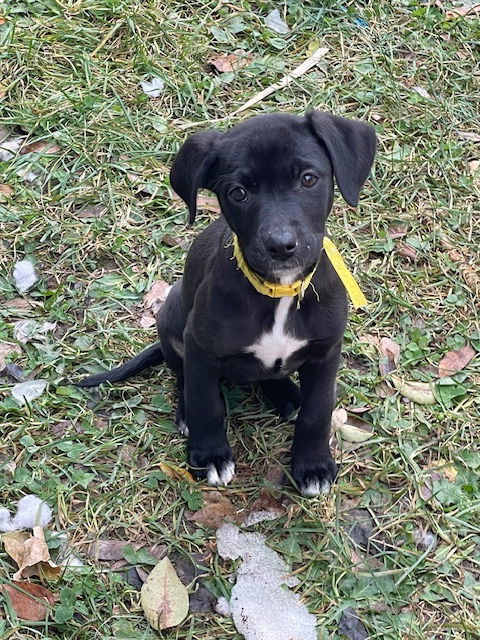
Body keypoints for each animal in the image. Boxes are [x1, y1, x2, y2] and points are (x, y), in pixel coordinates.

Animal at [79, 112, 376, 498]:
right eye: (238, 193)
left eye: (308, 179)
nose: (281, 246)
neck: (279, 291)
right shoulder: (200, 346)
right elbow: (206, 402)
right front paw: (209, 454)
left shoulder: (326, 351)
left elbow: (318, 410)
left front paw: (313, 464)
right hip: (173, 318)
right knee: (185, 377)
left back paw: (287, 395)